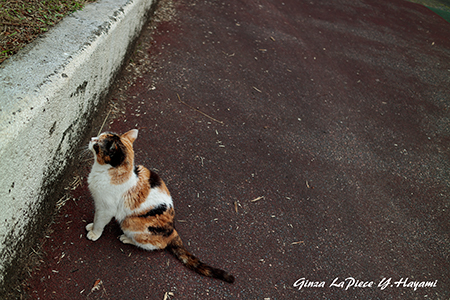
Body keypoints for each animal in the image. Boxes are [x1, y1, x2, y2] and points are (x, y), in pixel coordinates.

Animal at [87, 129, 236, 284]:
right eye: (98, 137)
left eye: (97, 144)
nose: (91, 139)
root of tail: (173, 230)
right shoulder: (100, 205)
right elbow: (96, 217)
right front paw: (91, 226)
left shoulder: (106, 208)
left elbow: (99, 221)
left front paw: (94, 233)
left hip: (129, 222)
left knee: (155, 245)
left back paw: (126, 238)